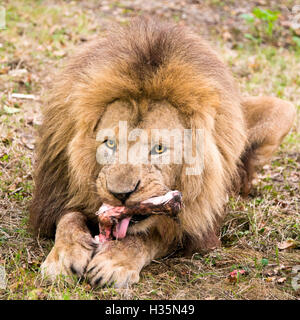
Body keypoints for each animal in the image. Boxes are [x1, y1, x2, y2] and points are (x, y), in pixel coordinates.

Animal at [29, 16, 296, 288]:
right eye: (110, 144)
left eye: (158, 148)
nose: (121, 194)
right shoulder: (59, 193)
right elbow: (69, 219)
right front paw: (63, 258)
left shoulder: (192, 224)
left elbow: (149, 237)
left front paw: (115, 262)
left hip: (283, 109)